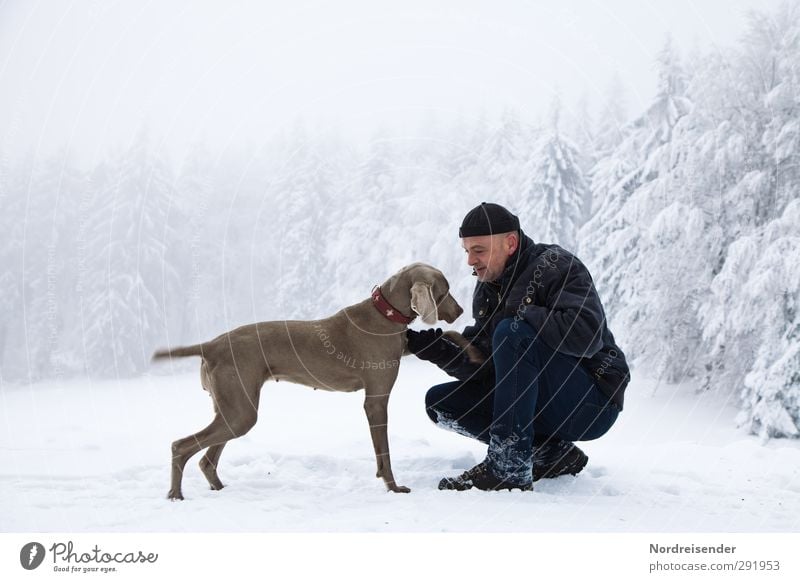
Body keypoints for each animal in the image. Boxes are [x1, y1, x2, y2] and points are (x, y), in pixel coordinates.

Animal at [153, 262, 466, 500]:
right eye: (446, 291)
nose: (461, 311)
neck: (384, 315)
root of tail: (210, 345)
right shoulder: (376, 400)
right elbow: (384, 453)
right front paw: (393, 487)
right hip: (240, 410)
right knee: (180, 446)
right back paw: (176, 495)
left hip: (231, 409)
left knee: (206, 459)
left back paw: (219, 488)